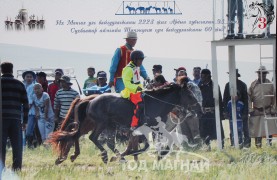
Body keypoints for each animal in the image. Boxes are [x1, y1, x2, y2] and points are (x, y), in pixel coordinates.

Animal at [49, 78, 201, 164]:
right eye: (189, 94)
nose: (199, 108)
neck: (155, 103)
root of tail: (90, 100)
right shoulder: (146, 128)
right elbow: (143, 146)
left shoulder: (154, 128)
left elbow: (163, 141)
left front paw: (159, 154)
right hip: (101, 124)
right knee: (92, 137)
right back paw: (104, 156)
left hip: (104, 125)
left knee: (79, 136)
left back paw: (69, 156)